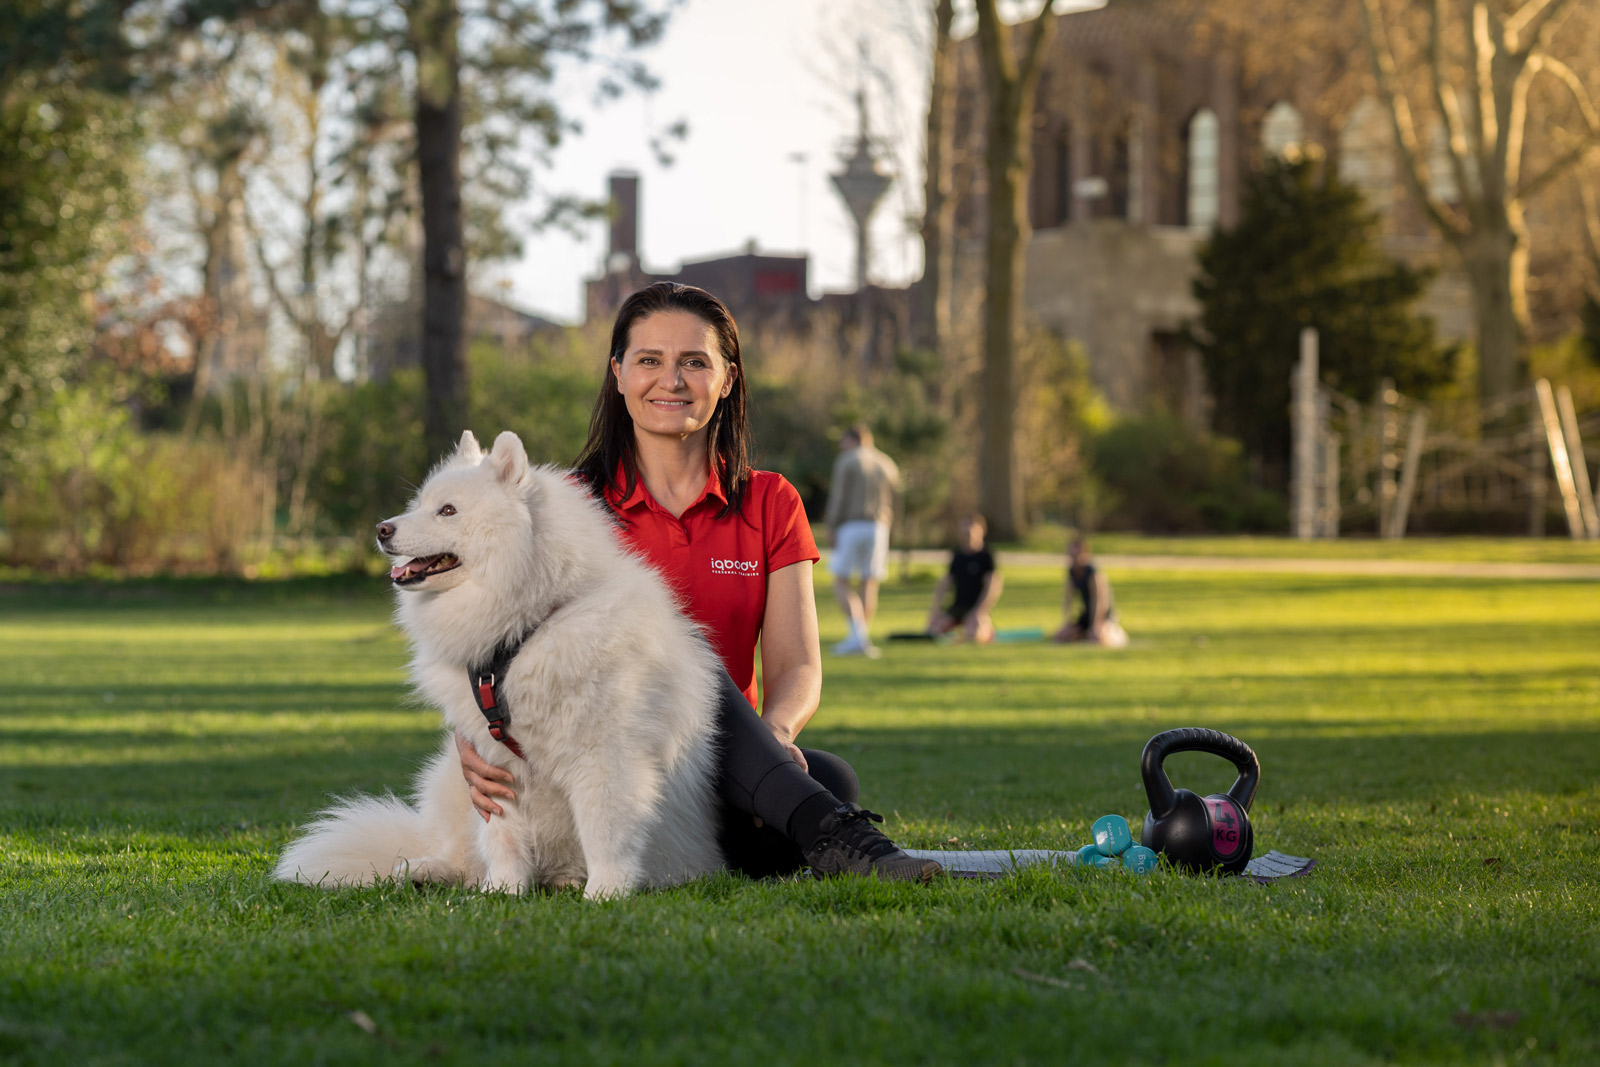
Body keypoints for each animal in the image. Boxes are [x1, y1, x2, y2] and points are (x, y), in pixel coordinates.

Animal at [275, 428, 726, 895]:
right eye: (419, 504)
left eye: (448, 510)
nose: (382, 530)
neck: (527, 631)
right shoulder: (494, 764)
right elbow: (503, 838)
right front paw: (503, 893)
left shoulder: (607, 760)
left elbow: (605, 835)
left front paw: (605, 894)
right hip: (450, 779)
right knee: (459, 856)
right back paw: (426, 871)